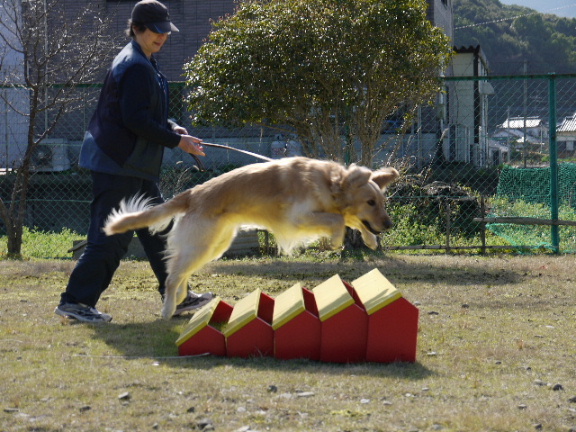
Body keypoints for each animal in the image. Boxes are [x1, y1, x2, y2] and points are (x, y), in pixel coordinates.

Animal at [103, 157, 398, 318]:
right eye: (370, 202)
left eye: (382, 202)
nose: (389, 224)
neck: (330, 182)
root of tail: (193, 192)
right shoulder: (298, 218)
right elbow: (338, 220)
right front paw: (337, 241)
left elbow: (349, 220)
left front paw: (370, 240)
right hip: (202, 244)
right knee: (173, 275)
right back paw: (167, 309)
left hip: (214, 245)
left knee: (179, 271)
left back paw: (180, 299)